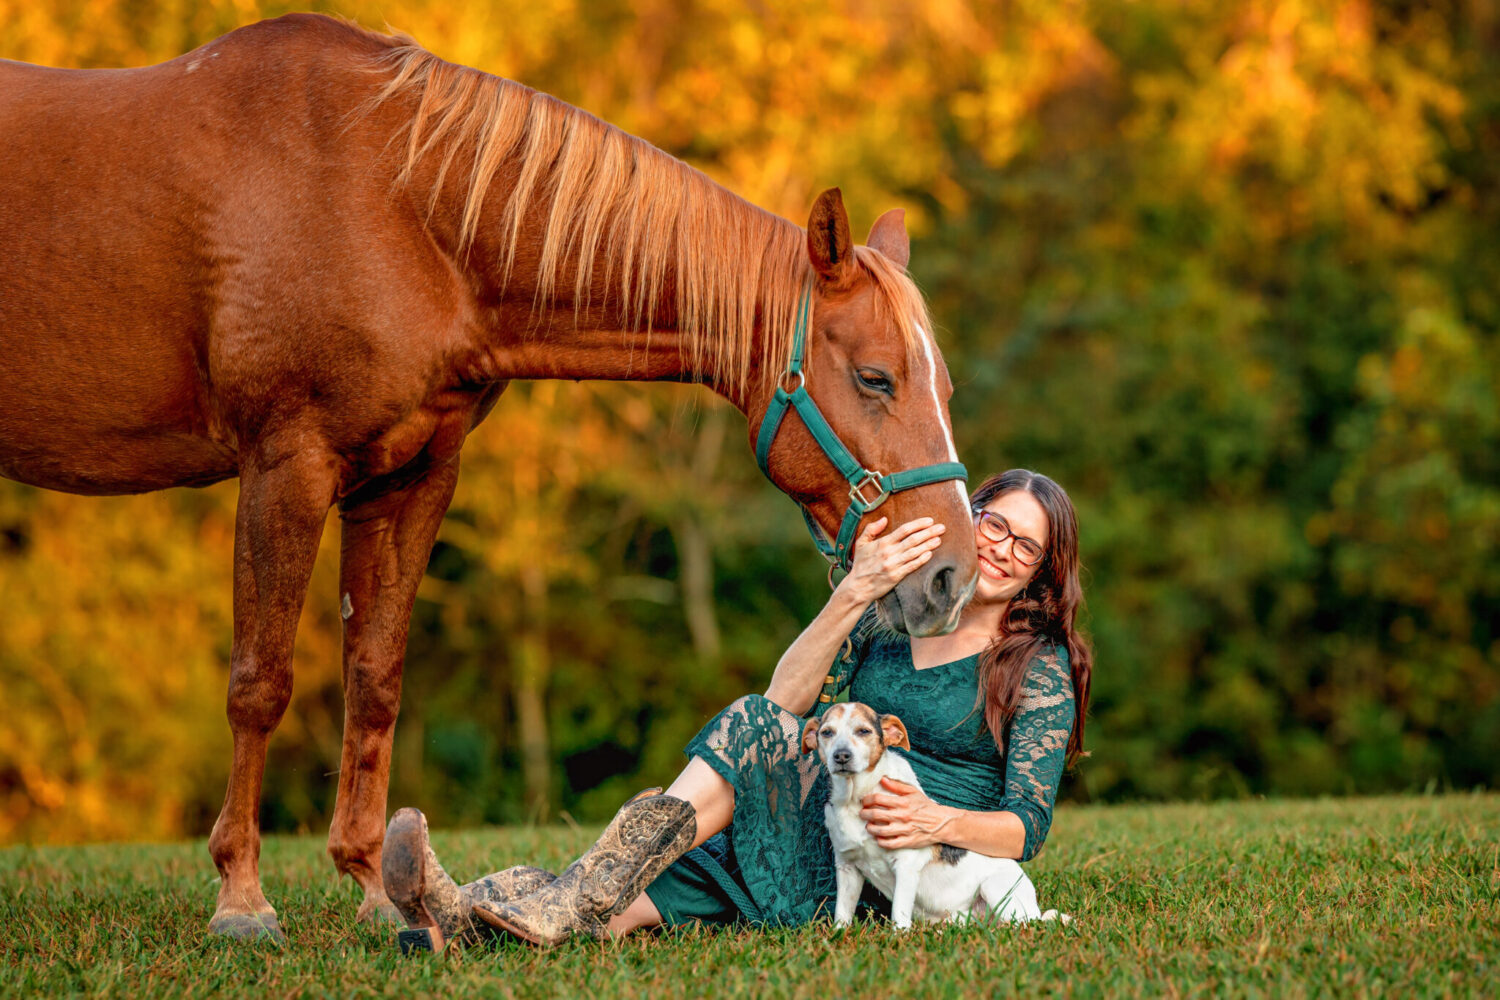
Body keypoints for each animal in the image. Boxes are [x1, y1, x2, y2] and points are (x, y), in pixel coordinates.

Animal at [0, 13, 978, 940]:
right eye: (876, 379)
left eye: (943, 384)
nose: (951, 577)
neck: (387, 198)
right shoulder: (287, 461)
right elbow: (260, 682)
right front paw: (242, 899)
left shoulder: (408, 476)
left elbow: (376, 677)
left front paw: (376, 890)